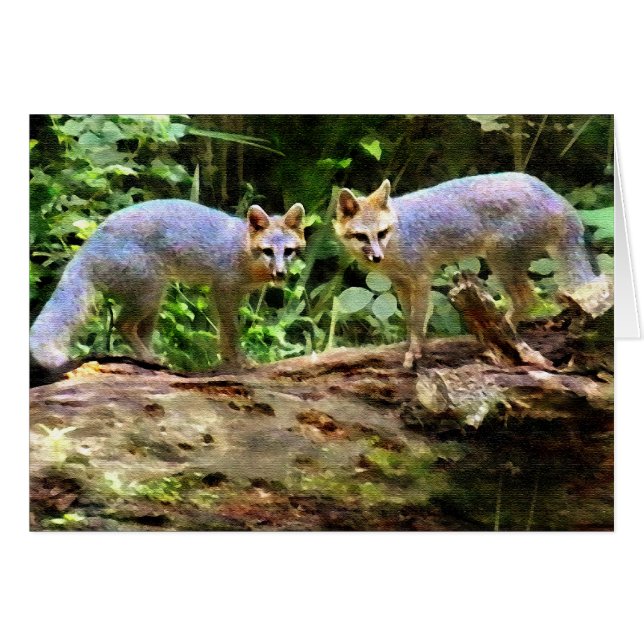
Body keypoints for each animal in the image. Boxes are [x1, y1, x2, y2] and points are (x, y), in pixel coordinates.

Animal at [30, 199, 306, 373]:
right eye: (268, 251)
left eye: (288, 252)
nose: (280, 273)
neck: (241, 249)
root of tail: (89, 244)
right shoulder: (224, 291)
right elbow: (232, 334)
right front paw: (241, 362)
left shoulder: (226, 296)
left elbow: (223, 336)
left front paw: (227, 362)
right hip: (151, 294)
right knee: (122, 325)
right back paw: (149, 358)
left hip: (154, 301)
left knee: (136, 331)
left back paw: (151, 361)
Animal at [334, 172, 611, 368]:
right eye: (362, 236)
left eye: (381, 233)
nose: (376, 257)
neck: (399, 233)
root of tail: (557, 198)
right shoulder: (401, 284)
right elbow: (409, 318)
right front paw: (408, 344)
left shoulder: (421, 278)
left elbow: (417, 320)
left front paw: (415, 351)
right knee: (526, 300)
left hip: (500, 263)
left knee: (527, 299)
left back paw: (501, 333)